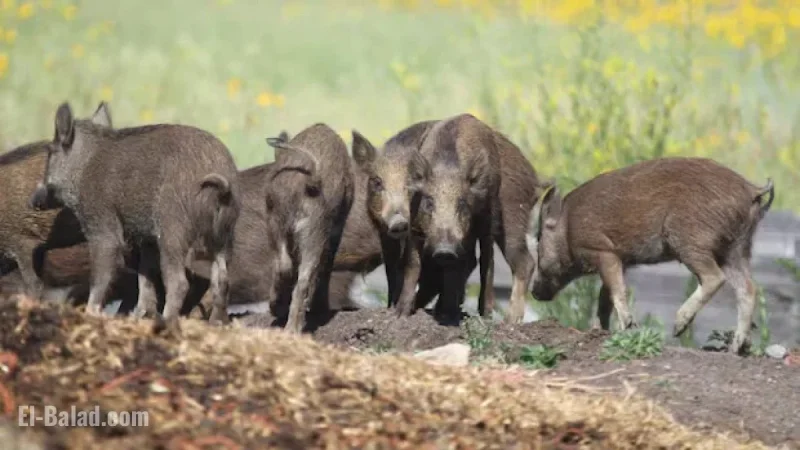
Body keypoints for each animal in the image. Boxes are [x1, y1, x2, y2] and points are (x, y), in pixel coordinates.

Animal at [29, 102, 240, 323]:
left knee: (179, 282)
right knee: (222, 280)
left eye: (50, 152)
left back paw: (165, 321)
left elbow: (101, 275)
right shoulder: (147, 240)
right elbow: (144, 276)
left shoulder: (102, 223)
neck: (83, 166)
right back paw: (216, 323)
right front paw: (138, 315)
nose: (33, 201)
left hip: (173, 228)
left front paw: (90, 313)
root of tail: (221, 186)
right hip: (223, 237)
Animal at [263, 123, 354, 333]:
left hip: (284, 223)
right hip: (309, 228)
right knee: (298, 273)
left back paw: (288, 325)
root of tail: (311, 180)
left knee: (289, 268)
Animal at [350, 121, 437, 312]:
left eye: (412, 182)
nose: (399, 222)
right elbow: (392, 268)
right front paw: (391, 307)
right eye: (377, 182)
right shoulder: (384, 233)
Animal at [410, 114, 501, 322]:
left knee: (485, 260)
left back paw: (484, 316)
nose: (445, 250)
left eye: (462, 203)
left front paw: (447, 315)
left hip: (489, 216)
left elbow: (461, 266)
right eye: (429, 202)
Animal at [525, 157, 775, 355]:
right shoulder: (619, 260)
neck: (568, 228)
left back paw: (678, 327)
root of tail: (751, 189)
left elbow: (617, 291)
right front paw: (599, 331)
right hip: (737, 248)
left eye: (538, 241)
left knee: (715, 278)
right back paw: (737, 347)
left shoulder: (603, 250)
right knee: (748, 288)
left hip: (691, 240)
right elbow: (604, 298)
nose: (534, 292)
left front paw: (627, 327)